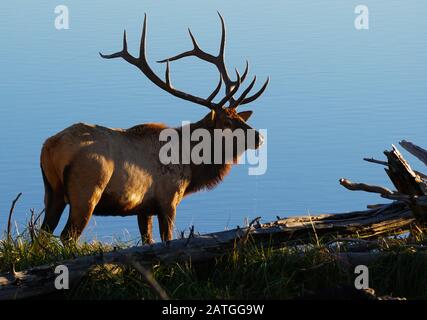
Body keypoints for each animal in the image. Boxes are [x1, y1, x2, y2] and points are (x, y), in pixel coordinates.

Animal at [39, 12, 268, 242]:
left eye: (240, 118)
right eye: (227, 123)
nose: (259, 137)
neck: (192, 165)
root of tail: (50, 146)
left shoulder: (144, 208)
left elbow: (147, 240)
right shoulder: (168, 199)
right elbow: (167, 238)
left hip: (52, 192)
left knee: (42, 233)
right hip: (87, 190)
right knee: (67, 235)